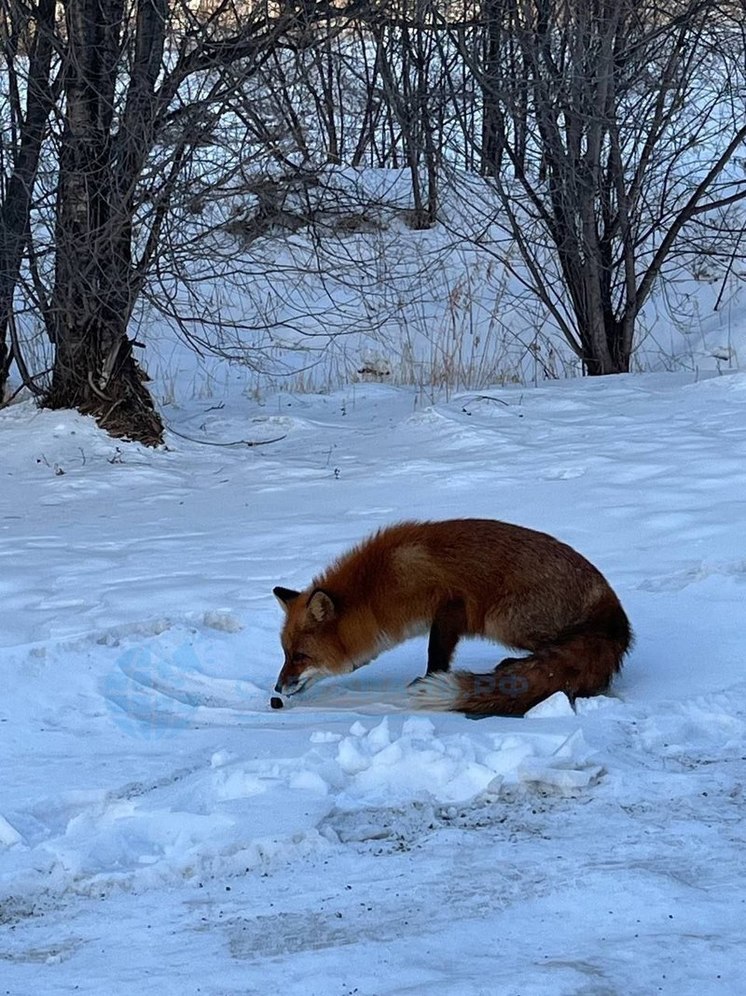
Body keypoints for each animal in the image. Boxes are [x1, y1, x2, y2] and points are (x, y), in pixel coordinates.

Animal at [270, 520, 632, 716]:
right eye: (285, 654)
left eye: (300, 657)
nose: (277, 687)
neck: (377, 588)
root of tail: (615, 613)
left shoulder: (451, 604)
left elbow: (436, 655)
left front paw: (427, 681)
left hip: (503, 618)